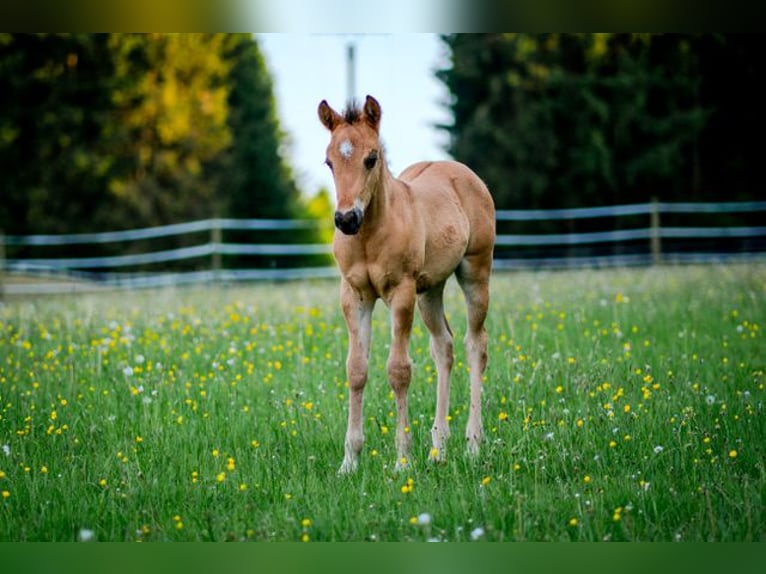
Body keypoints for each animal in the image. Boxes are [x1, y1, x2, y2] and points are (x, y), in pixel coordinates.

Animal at [318, 95, 496, 474]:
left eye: (371, 158)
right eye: (329, 162)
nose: (346, 219)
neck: (370, 236)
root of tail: (463, 173)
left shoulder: (400, 292)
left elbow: (398, 371)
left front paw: (402, 460)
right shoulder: (354, 295)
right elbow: (356, 369)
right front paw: (349, 461)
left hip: (475, 271)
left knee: (476, 344)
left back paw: (473, 445)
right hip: (429, 290)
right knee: (444, 347)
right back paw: (438, 448)